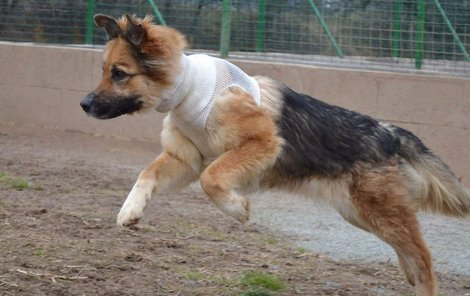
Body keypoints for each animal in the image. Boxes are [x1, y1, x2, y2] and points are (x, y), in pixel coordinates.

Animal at [81, 14, 470, 296]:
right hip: (361, 214)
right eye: (103, 71)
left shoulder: (261, 143)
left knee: (424, 257)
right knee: (410, 253)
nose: (83, 104)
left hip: (378, 211)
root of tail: (389, 133)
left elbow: (212, 179)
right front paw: (130, 211)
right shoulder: (184, 160)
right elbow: (146, 174)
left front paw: (237, 208)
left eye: (119, 74)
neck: (189, 92)